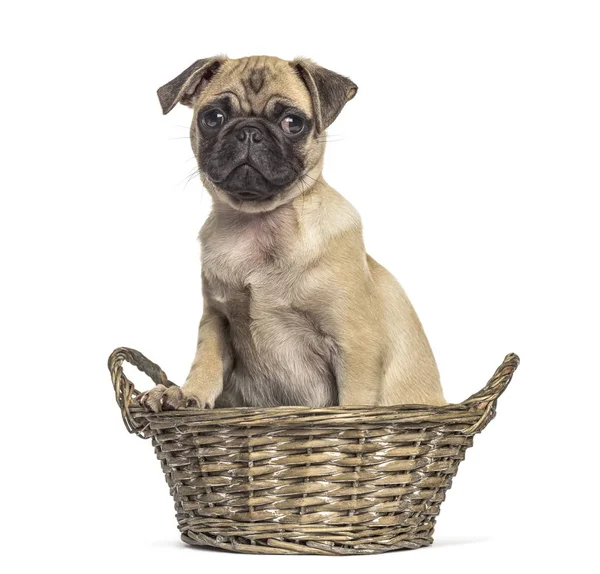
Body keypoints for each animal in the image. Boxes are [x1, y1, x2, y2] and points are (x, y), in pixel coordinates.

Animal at [137, 55, 446, 414]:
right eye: (213, 118)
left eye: (292, 123)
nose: (249, 132)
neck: (260, 223)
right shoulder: (216, 320)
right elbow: (207, 361)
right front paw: (188, 393)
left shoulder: (355, 345)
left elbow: (352, 402)